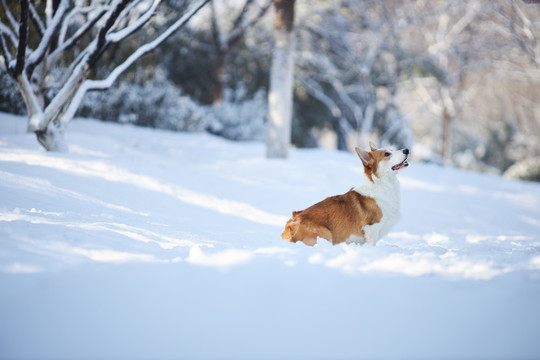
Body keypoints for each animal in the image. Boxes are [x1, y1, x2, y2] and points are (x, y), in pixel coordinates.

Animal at [282, 143, 410, 248]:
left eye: (391, 149)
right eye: (387, 154)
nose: (407, 150)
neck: (381, 184)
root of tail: (292, 222)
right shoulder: (372, 227)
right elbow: (372, 244)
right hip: (326, 233)